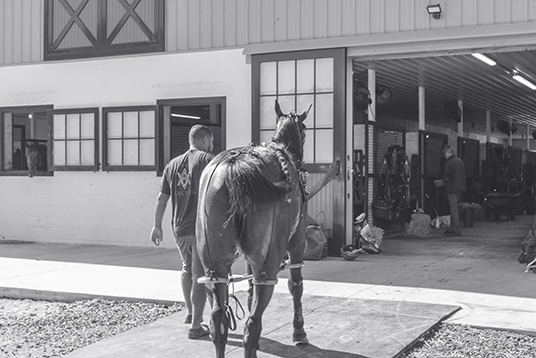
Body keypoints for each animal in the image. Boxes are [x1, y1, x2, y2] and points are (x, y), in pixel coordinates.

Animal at [196, 100, 314, 358]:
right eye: (305, 131)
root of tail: (233, 166)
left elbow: (249, 286)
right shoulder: (298, 242)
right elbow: (296, 286)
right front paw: (299, 332)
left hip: (214, 266)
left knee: (218, 321)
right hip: (268, 261)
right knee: (252, 324)